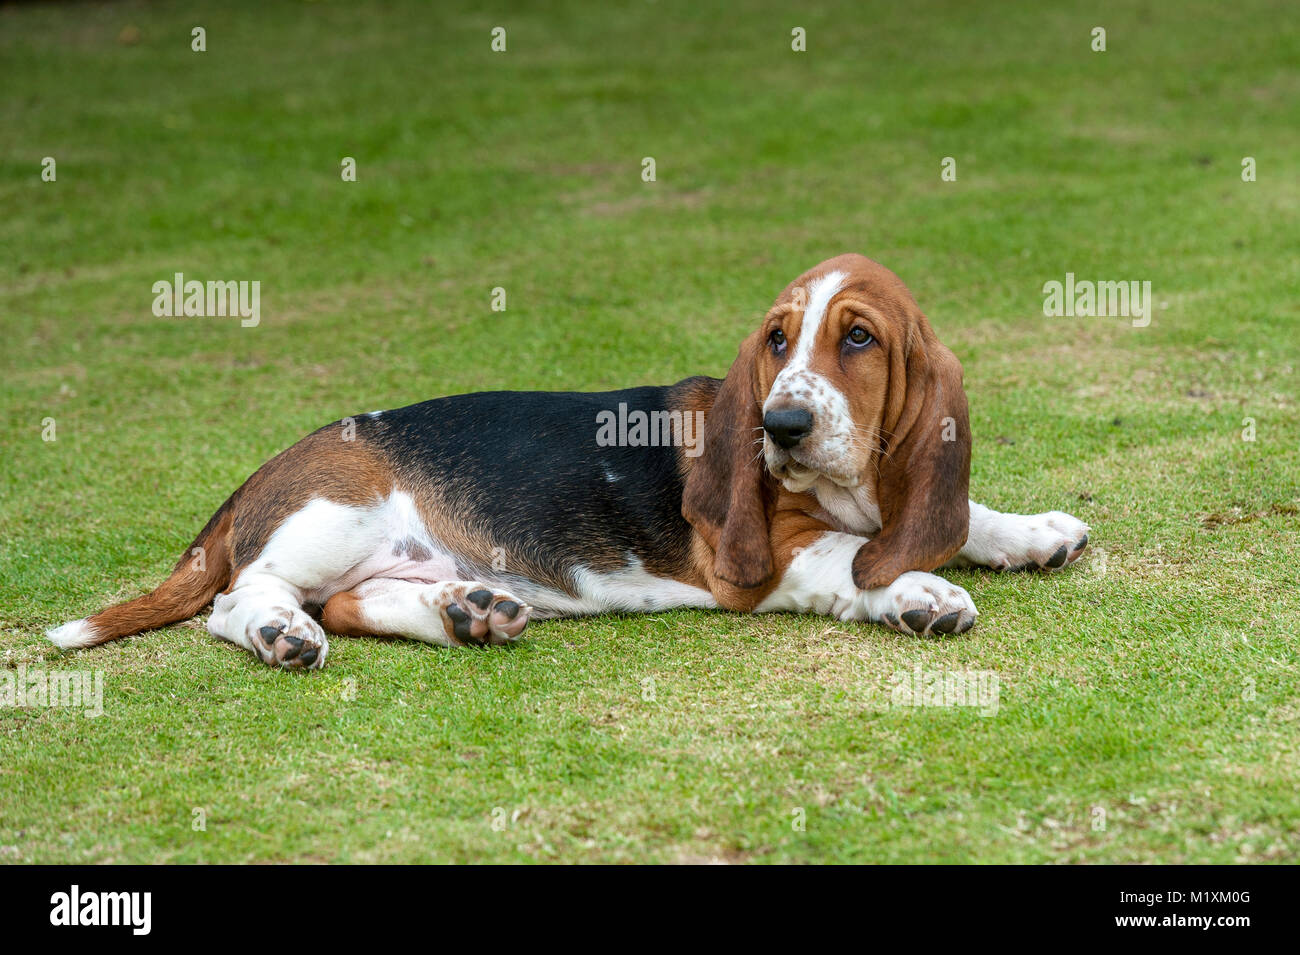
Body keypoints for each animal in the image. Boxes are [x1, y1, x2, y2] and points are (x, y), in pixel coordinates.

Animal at [48, 255, 1086, 670]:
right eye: (779, 339)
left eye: (859, 338)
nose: (783, 422)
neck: (850, 485)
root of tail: (258, 475)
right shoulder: (768, 560)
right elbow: (851, 561)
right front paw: (920, 593)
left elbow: (959, 516)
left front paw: (1034, 532)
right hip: (333, 515)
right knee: (242, 600)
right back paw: (279, 635)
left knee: (354, 603)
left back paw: (467, 610)